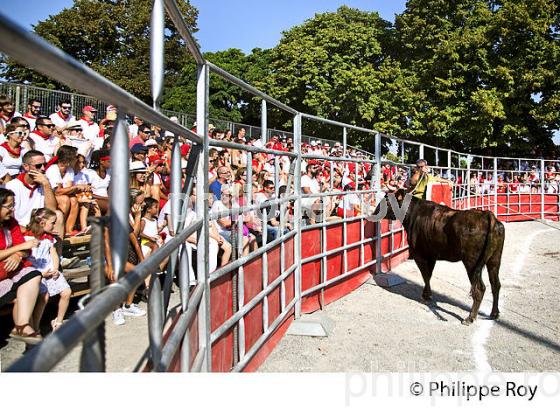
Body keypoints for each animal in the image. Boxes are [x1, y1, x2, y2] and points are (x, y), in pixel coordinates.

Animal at [376, 187, 508, 326]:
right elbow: (428, 275)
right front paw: (427, 294)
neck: (413, 213)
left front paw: (426, 296)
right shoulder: (431, 256)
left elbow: (425, 275)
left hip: (471, 262)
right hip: (495, 259)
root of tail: (487, 215)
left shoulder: (419, 254)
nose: (374, 212)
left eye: (388, 202)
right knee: (495, 284)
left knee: (479, 288)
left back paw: (470, 318)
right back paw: (494, 313)